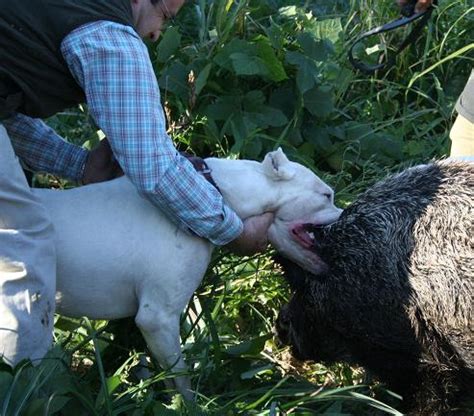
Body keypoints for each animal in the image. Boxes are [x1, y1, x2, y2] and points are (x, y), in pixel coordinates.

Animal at [35, 148, 342, 398]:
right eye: (326, 195)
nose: (347, 216)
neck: (218, 190)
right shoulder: (157, 318)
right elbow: (180, 379)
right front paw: (188, 405)